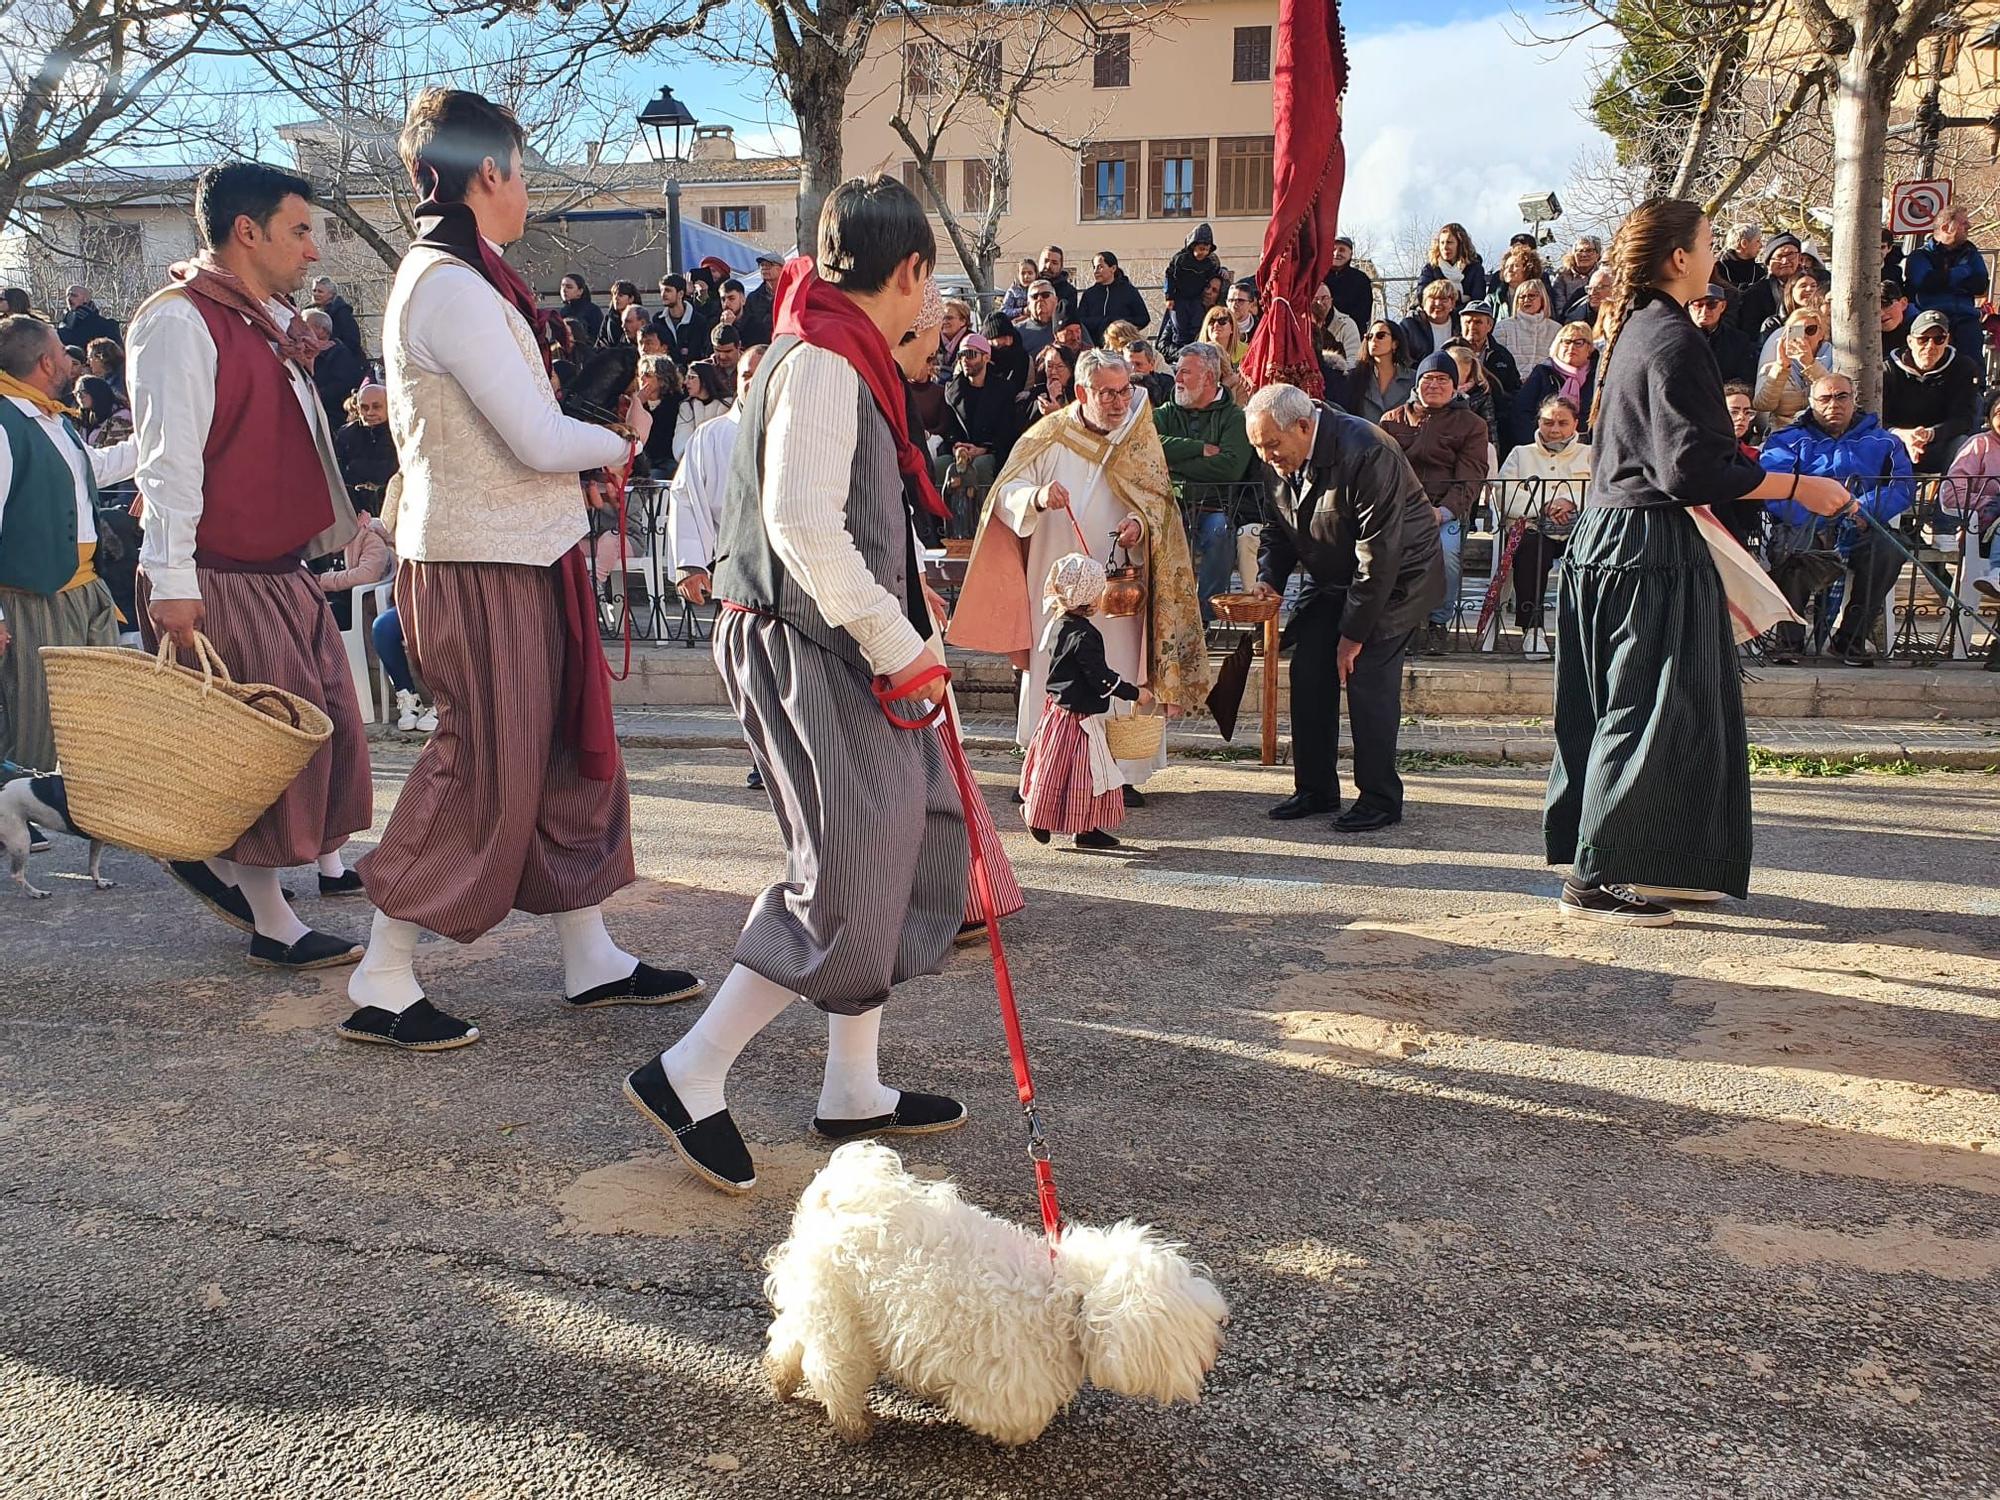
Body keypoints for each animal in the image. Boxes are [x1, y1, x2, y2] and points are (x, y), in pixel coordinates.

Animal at [0, 768, 113, 900]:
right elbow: (94, 865)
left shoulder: (97, 839)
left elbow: (93, 865)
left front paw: (99, 882)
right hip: (21, 840)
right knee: (17, 874)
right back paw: (37, 892)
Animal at [764, 1144, 1224, 1448]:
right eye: (1190, 1337)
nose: (1209, 1361)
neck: (1067, 1298)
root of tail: (836, 1197)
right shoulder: (1005, 1374)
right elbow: (1004, 1413)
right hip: (845, 1322)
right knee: (832, 1371)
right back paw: (852, 1424)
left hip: (820, 1300)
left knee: (790, 1336)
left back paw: (782, 1380)